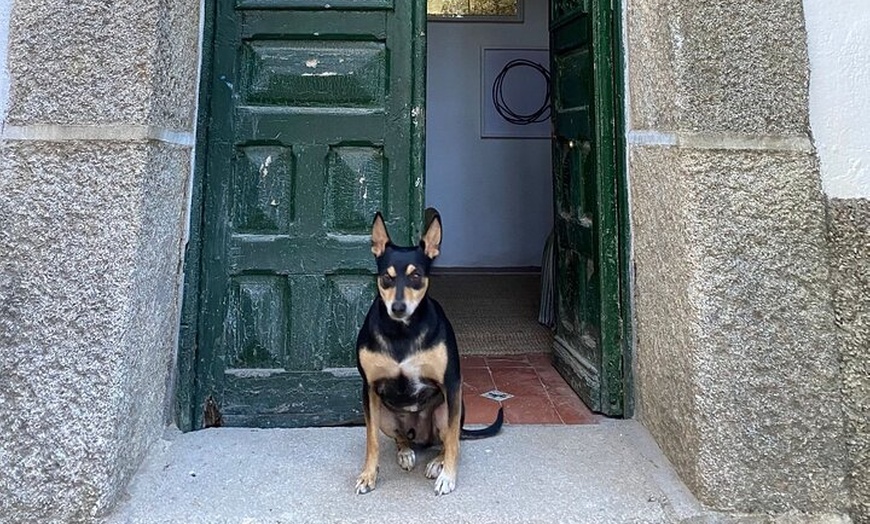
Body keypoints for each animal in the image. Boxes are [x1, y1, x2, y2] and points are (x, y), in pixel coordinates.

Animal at [354, 210, 504, 496]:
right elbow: (370, 440)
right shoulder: (369, 388)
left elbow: (454, 442)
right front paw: (368, 475)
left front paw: (447, 477)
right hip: (386, 417)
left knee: (451, 439)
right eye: (387, 276)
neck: (402, 331)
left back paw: (437, 462)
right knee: (402, 438)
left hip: (445, 410)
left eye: (416, 276)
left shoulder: (451, 383)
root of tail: (422, 438)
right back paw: (405, 452)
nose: (398, 307)